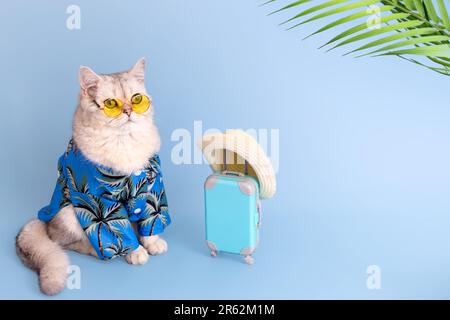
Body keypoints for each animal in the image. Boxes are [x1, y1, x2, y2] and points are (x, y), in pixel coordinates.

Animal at [15, 58, 169, 296]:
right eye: (111, 104)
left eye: (136, 99)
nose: (128, 111)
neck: (124, 141)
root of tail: (45, 222)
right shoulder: (101, 202)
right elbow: (120, 231)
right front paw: (136, 252)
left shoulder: (152, 188)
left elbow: (151, 220)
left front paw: (153, 242)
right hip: (71, 213)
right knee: (66, 242)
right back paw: (96, 250)